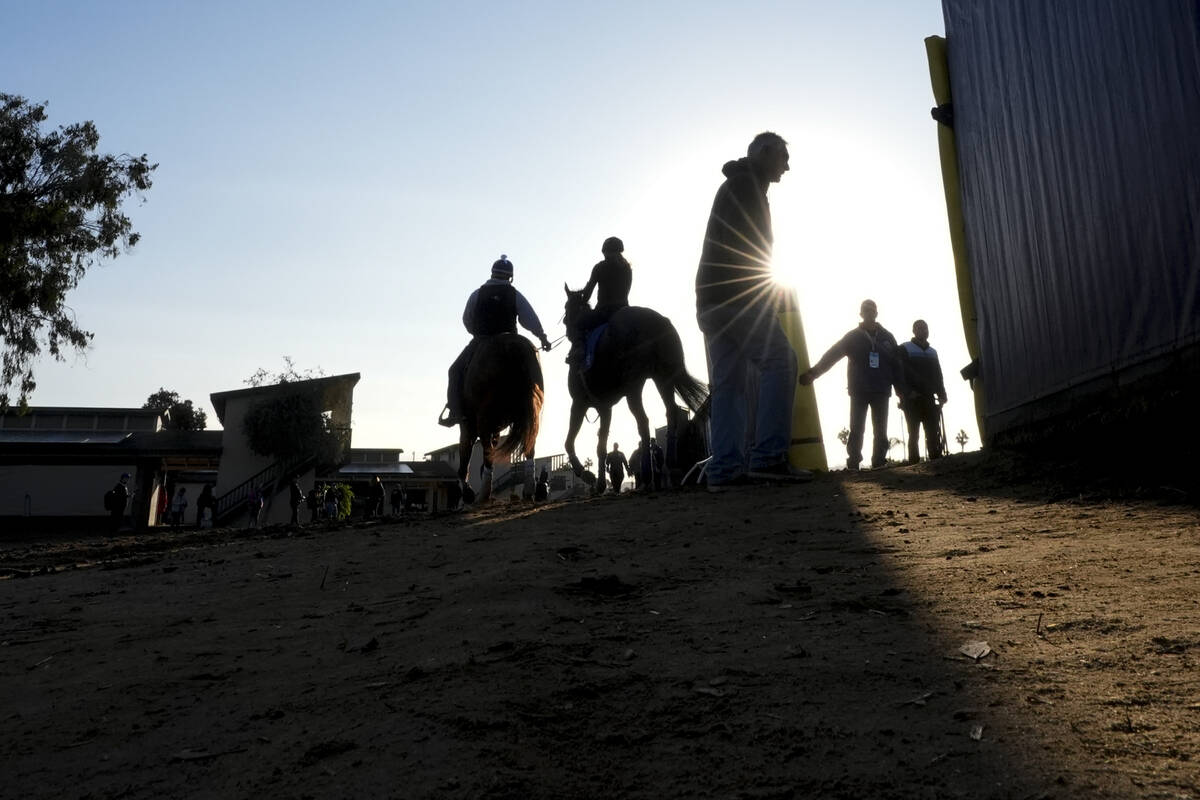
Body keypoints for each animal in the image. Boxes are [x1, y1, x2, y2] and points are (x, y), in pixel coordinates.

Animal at [453, 335, 544, 503]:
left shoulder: (469, 424)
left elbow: (466, 450)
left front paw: (468, 492)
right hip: (532, 415)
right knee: (529, 446)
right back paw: (529, 489)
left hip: (483, 418)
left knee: (486, 451)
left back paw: (483, 493)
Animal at [564, 284, 705, 491]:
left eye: (567, 307)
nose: (566, 324)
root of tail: (656, 321)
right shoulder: (605, 409)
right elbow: (601, 447)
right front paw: (600, 483)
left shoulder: (578, 403)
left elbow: (569, 441)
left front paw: (587, 475)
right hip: (663, 378)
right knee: (670, 412)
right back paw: (671, 464)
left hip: (634, 386)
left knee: (643, 422)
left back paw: (647, 474)